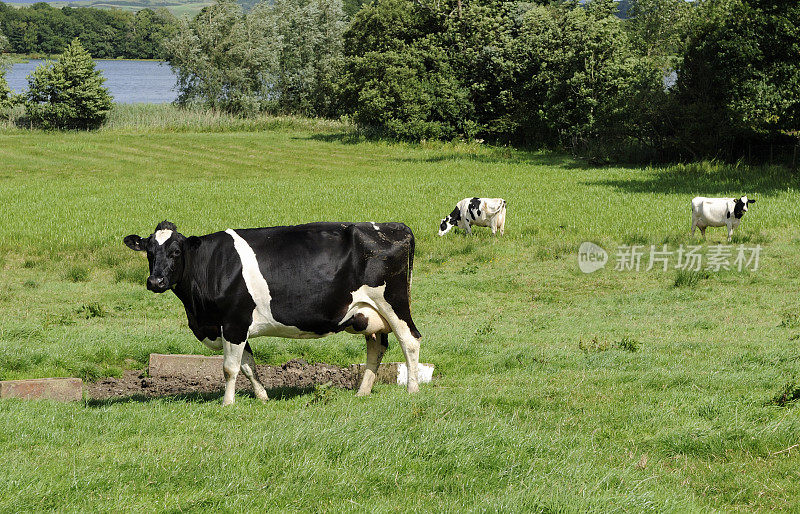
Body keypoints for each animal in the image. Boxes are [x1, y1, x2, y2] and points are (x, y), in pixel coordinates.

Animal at [122, 220, 422, 404]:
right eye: (149, 252)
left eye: (175, 251)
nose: (155, 281)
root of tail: (395, 226)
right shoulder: (233, 326)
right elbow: (248, 366)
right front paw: (263, 397)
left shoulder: (234, 322)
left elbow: (230, 367)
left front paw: (227, 402)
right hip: (366, 313)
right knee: (377, 346)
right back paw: (362, 392)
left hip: (393, 303)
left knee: (410, 340)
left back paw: (412, 389)